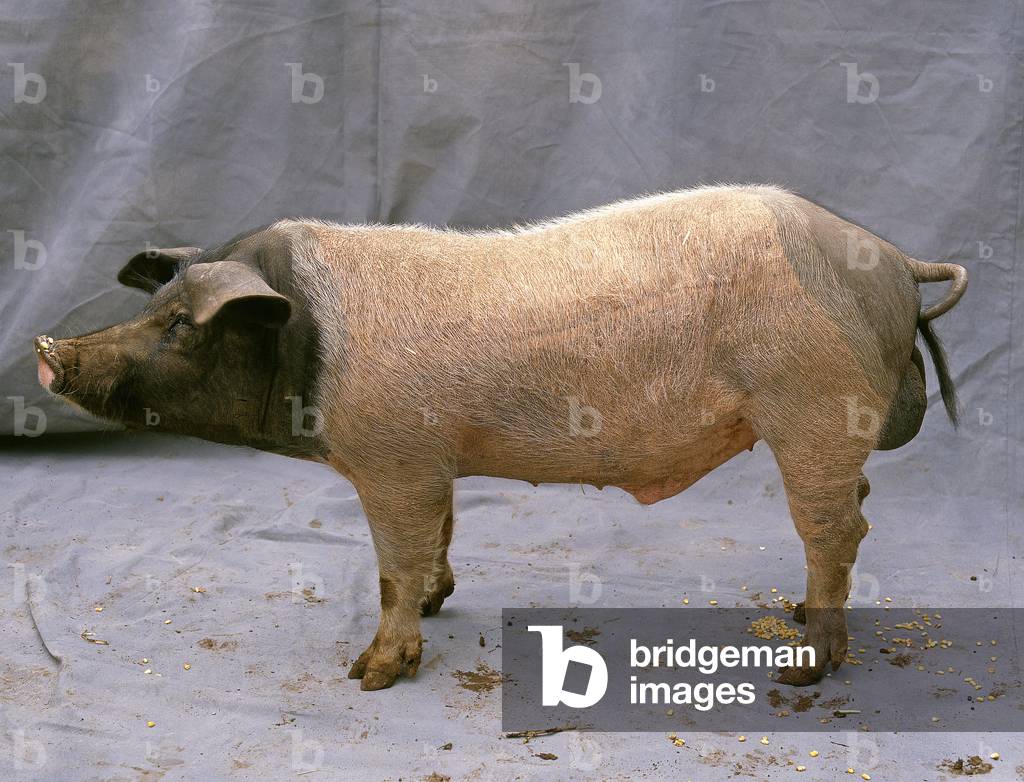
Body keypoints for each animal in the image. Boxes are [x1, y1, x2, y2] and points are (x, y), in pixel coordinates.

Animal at [36, 185, 967, 690]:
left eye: (182, 326)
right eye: (158, 305)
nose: (48, 351)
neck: (309, 343)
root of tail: (895, 260)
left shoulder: (393, 458)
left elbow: (393, 563)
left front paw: (370, 674)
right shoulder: (435, 458)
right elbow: (441, 535)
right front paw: (440, 602)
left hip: (810, 408)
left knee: (836, 528)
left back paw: (803, 666)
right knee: (855, 514)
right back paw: (797, 615)